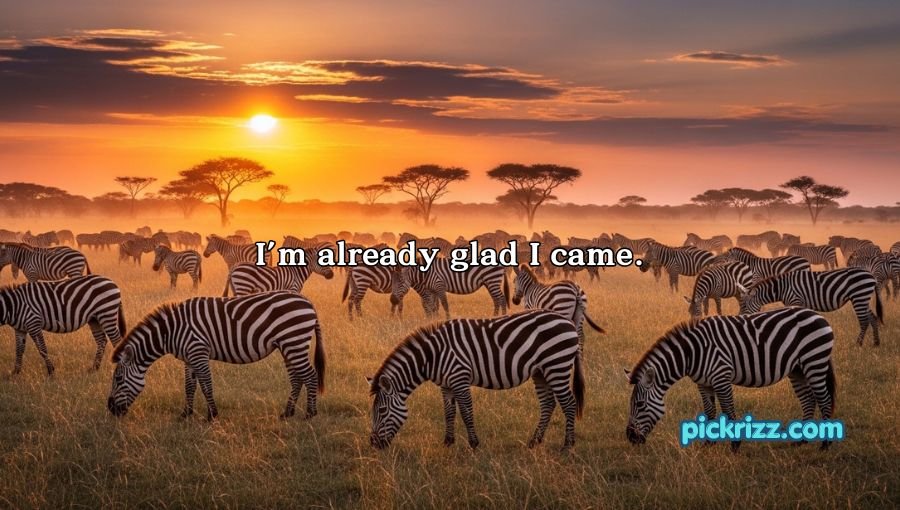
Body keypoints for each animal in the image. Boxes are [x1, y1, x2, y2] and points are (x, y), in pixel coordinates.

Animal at [107, 291, 325, 420]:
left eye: (118, 379)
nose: (110, 409)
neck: (171, 331)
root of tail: (308, 302)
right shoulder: (189, 357)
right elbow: (190, 385)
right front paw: (186, 414)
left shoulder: (198, 351)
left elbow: (206, 384)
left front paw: (212, 415)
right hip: (288, 346)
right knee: (296, 378)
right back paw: (287, 413)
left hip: (294, 342)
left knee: (310, 375)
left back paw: (310, 413)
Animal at [368, 309, 584, 450]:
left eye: (382, 410)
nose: (373, 444)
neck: (433, 356)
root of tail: (568, 322)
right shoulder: (446, 385)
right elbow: (449, 413)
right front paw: (448, 442)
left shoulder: (459, 378)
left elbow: (466, 412)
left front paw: (473, 444)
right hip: (541, 372)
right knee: (548, 404)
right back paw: (534, 442)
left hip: (557, 366)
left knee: (569, 403)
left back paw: (568, 445)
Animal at [626, 307, 835, 450]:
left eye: (640, 405)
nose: (630, 438)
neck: (692, 353)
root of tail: (817, 315)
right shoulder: (703, 383)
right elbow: (710, 412)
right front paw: (708, 444)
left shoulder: (721, 377)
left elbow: (728, 410)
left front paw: (735, 445)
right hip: (798, 370)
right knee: (808, 401)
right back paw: (801, 441)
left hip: (814, 362)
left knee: (824, 400)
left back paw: (825, 444)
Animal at [738, 267, 883, 346]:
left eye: (744, 305)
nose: (741, 318)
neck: (782, 288)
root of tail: (872, 276)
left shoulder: (795, 301)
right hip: (862, 298)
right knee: (873, 318)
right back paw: (876, 343)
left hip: (859, 296)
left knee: (864, 321)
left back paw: (858, 344)